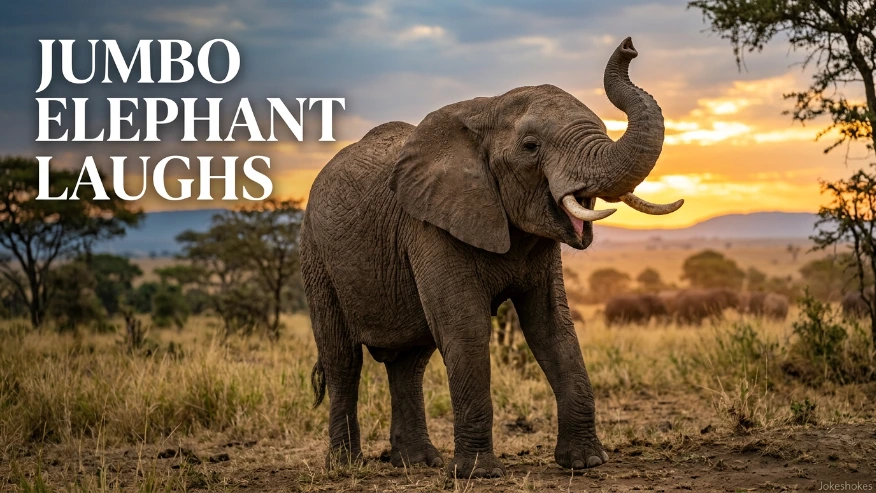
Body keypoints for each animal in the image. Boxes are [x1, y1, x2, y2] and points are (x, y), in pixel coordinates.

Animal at [301, 37, 683, 478]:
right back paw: (345, 465)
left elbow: (552, 328)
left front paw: (585, 462)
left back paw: (417, 463)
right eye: (531, 147)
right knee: (343, 359)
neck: (487, 109)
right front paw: (477, 474)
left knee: (410, 361)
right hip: (316, 254)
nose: (630, 46)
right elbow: (466, 328)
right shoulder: (429, 225)